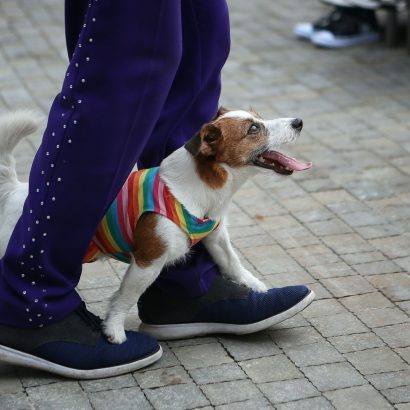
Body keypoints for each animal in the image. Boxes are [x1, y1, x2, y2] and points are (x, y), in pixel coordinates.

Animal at [0, 108, 312, 342]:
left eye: (258, 118)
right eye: (253, 129)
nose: (298, 121)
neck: (200, 190)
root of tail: (15, 192)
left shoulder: (216, 235)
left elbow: (232, 263)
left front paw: (256, 288)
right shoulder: (147, 261)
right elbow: (126, 296)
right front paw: (113, 329)